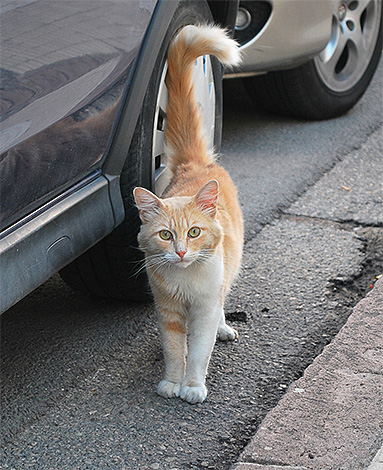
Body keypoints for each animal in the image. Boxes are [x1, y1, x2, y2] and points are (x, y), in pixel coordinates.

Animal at [134, 23, 244, 404]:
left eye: (194, 232)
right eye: (166, 235)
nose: (181, 252)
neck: (185, 281)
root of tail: (194, 164)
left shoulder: (203, 310)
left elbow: (197, 351)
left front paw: (193, 387)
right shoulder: (168, 311)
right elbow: (173, 350)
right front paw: (172, 382)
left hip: (230, 269)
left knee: (224, 301)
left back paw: (225, 329)